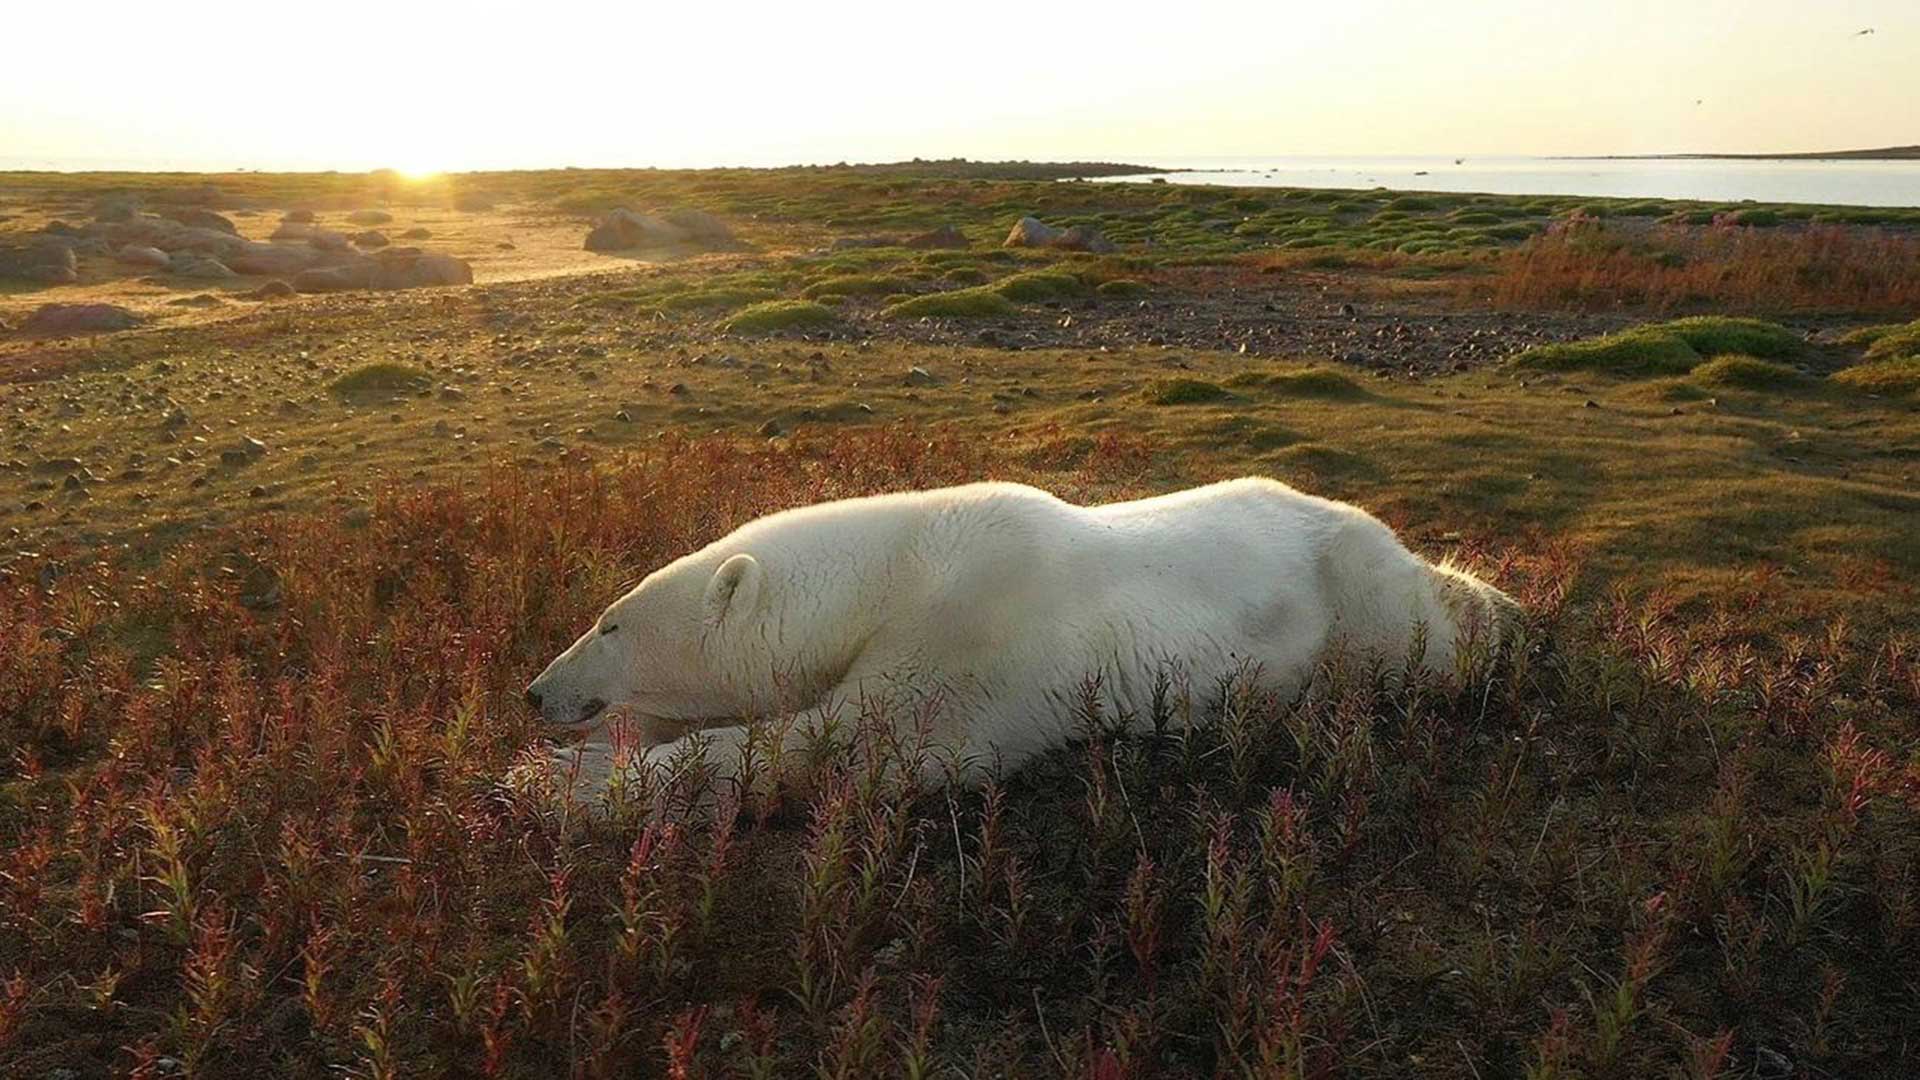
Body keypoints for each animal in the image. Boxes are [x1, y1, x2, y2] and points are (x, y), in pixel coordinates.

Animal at [523, 477, 1520, 800]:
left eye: (609, 623)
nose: (534, 692)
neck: (890, 574)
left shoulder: (971, 636)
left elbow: (860, 740)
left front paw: (566, 782)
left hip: (1358, 602)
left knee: (1426, 642)